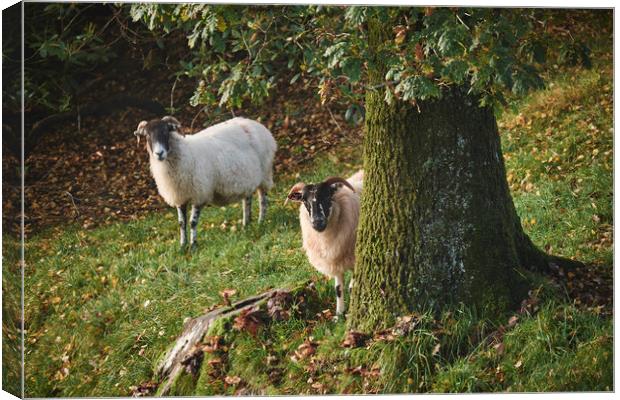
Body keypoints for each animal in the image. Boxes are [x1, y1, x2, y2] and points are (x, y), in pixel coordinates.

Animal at [134, 115, 278, 250]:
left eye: (166, 131)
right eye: (147, 135)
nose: (159, 153)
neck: (184, 153)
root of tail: (258, 125)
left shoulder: (199, 194)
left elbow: (192, 222)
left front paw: (193, 245)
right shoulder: (180, 196)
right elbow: (181, 223)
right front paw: (182, 246)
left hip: (265, 174)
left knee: (263, 200)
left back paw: (260, 221)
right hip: (247, 177)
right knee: (247, 200)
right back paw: (246, 224)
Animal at [286, 169, 364, 316]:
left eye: (328, 196)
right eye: (304, 200)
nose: (317, 222)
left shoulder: (356, 258)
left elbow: (352, 287)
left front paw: (351, 312)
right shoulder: (336, 259)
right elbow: (338, 289)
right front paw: (339, 314)